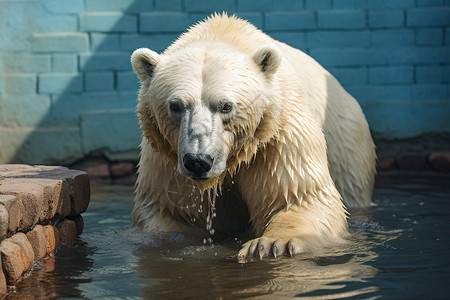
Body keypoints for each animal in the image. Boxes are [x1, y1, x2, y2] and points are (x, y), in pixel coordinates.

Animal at [130, 13, 376, 260]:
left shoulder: (277, 138)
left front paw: (271, 244)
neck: (222, 33)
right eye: (175, 106)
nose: (198, 161)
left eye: (226, 106)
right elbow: (171, 211)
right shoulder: (166, 159)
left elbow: (301, 198)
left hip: (346, 142)